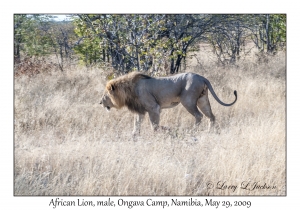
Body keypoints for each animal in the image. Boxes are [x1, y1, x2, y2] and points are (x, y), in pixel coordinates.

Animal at [100, 71, 237, 135]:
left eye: (105, 95)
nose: (100, 102)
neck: (129, 90)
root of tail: (202, 77)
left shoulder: (154, 107)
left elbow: (154, 125)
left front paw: (167, 129)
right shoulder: (140, 111)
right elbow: (136, 125)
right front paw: (134, 136)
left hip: (188, 101)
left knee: (199, 116)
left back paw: (192, 131)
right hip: (202, 100)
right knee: (211, 116)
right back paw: (209, 132)